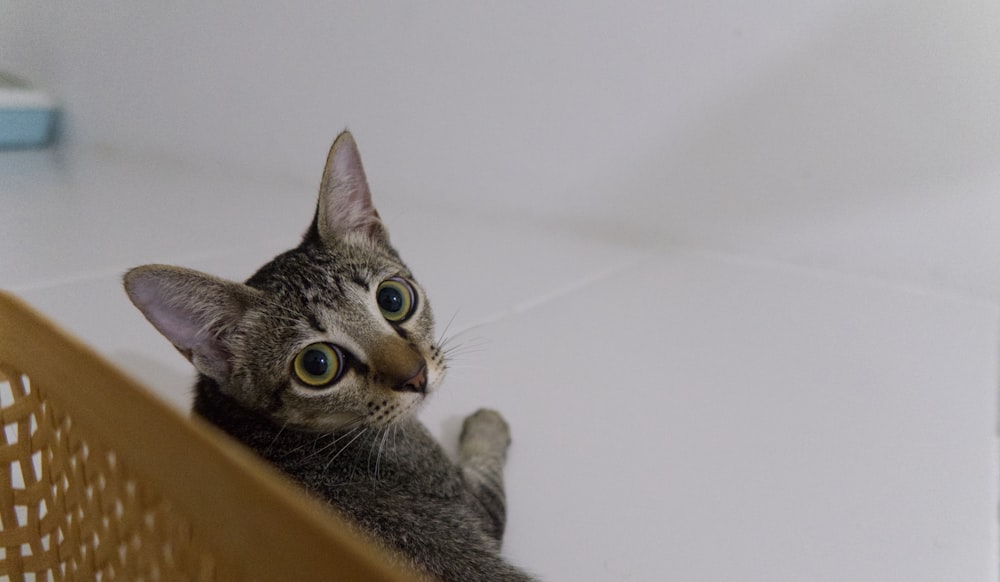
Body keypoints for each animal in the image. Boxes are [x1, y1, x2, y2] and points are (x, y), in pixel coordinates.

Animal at [122, 132, 536, 582]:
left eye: (393, 299)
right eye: (317, 365)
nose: (416, 376)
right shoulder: (473, 505)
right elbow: (486, 467)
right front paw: (487, 423)